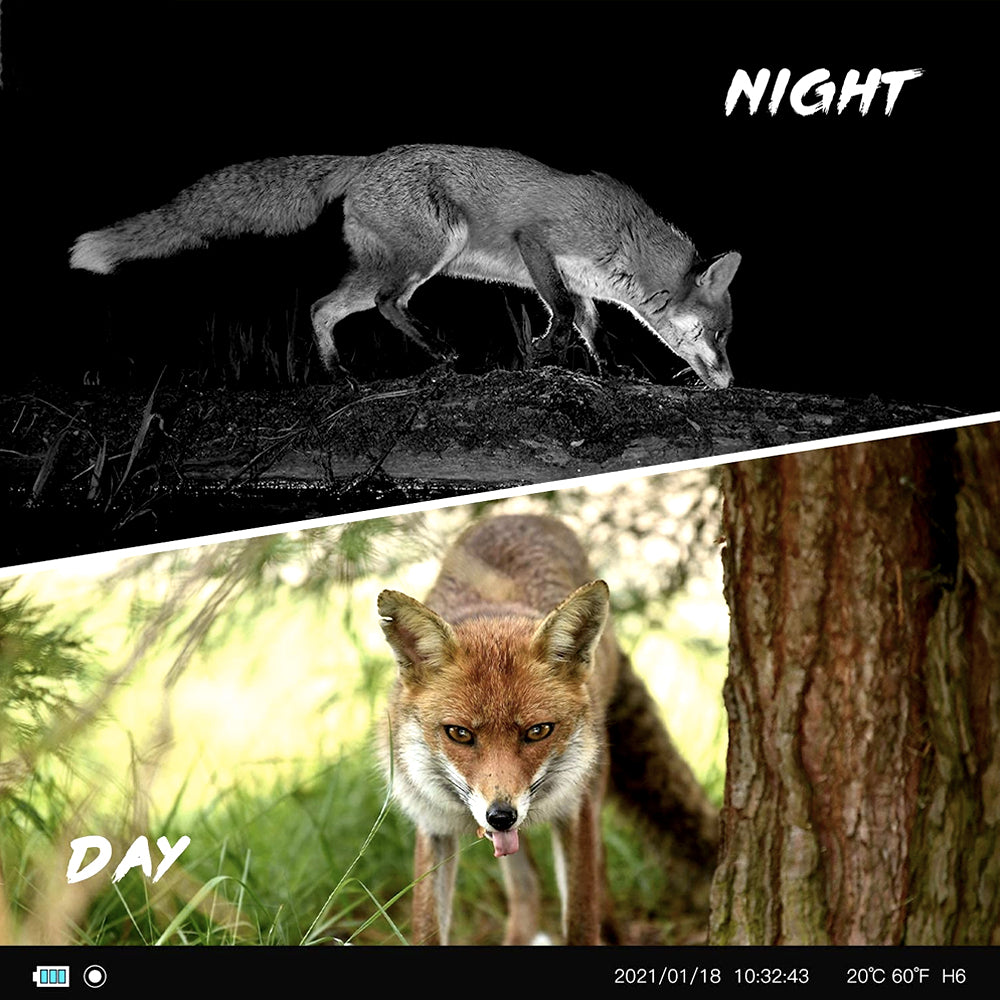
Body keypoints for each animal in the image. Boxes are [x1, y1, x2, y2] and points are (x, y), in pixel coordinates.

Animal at [69, 145, 741, 388]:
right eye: (719, 335)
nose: (730, 383)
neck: (623, 238)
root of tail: (364, 160)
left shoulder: (579, 282)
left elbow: (589, 322)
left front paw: (603, 366)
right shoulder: (537, 243)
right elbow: (559, 310)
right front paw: (547, 354)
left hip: (386, 266)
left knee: (324, 307)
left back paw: (337, 372)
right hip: (429, 253)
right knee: (385, 305)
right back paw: (438, 353)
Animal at [377, 514, 719, 945]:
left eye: (538, 731)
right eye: (459, 734)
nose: (501, 816)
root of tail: (523, 516)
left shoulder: (575, 811)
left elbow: (581, 920)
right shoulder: (433, 825)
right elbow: (427, 927)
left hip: (592, 792)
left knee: (598, 879)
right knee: (528, 888)